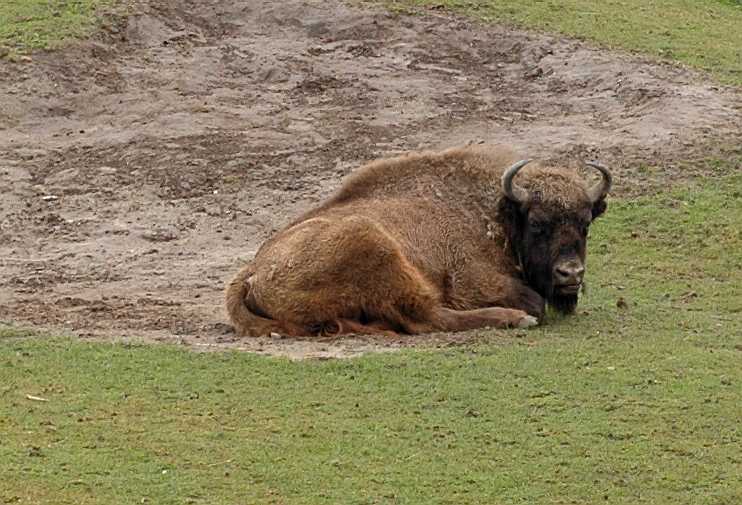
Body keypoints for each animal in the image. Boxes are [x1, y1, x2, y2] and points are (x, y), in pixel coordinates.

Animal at [226, 144, 611, 337]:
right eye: (537, 224)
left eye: (585, 224)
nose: (571, 274)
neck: (495, 212)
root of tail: (251, 274)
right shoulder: (472, 281)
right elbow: (534, 301)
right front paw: (526, 313)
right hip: (375, 245)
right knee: (429, 318)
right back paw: (514, 319)